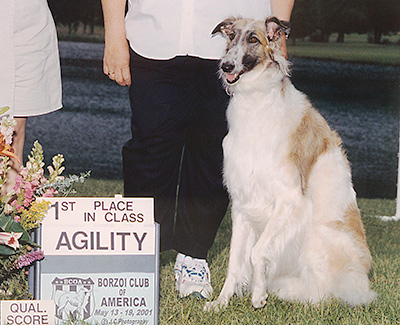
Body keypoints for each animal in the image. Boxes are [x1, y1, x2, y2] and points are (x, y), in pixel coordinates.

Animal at [205, 17, 376, 308]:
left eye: (253, 39)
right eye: (231, 36)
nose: (225, 66)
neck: (256, 104)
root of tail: (363, 283)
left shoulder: (289, 199)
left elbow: (257, 252)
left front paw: (258, 295)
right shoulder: (242, 203)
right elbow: (235, 262)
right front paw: (221, 302)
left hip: (320, 236)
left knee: (324, 295)